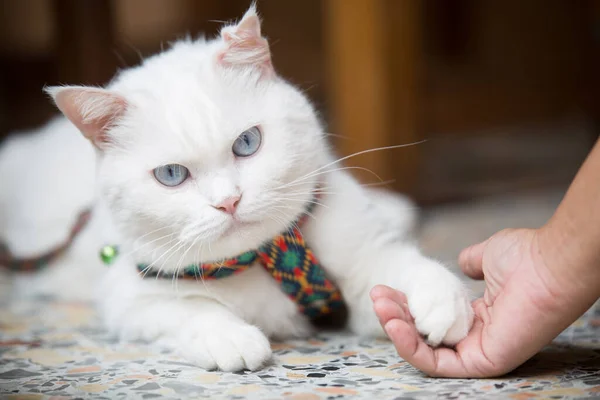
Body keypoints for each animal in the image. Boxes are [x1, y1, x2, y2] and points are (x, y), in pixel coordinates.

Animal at [0, 5, 474, 372]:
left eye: (247, 142)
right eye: (171, 175)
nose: (228, 201)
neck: (266, 258)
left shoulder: (363, 258)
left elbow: (403, 264)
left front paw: (444, 302)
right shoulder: (130, 297)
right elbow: (190, 309)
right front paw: (230, 338)